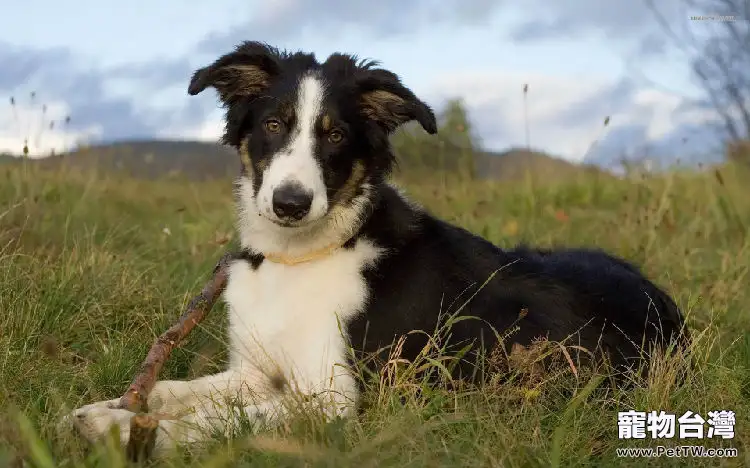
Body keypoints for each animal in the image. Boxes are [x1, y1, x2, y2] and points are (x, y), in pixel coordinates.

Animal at [66, 42, 692, 456]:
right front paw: (108, 410)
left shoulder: (341, 400)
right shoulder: (257, 370)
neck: (301, 256)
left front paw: (123, 433)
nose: (290, 203)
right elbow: (173, 391)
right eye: (272, 124)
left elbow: (221, 422)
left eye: (336, 135)